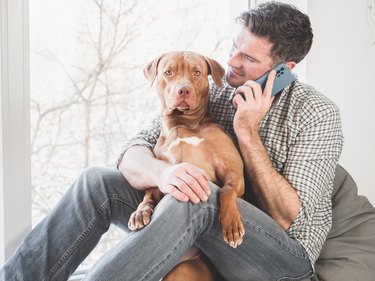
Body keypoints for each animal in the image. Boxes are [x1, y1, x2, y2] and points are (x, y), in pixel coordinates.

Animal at [129, 51, 247, 278]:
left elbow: (226, 190)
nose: (183, 89)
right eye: (168, 72)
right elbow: (148, 196)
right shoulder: (161, 182)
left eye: (197, 72)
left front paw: (231, 225)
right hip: (180, 271)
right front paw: (140, 212)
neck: (181, 124)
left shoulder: (234, 172)